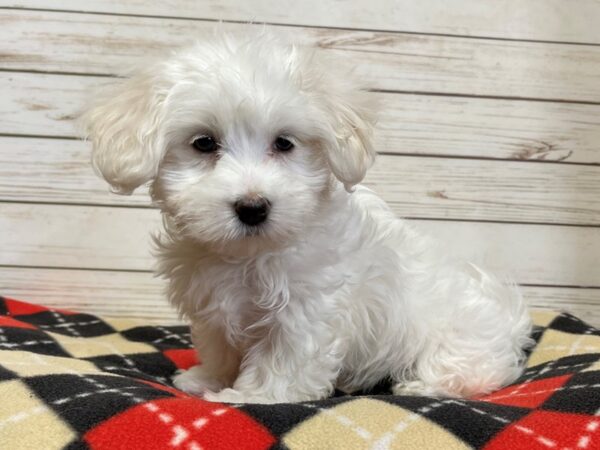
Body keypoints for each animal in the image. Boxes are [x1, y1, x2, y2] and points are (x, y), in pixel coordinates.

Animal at [82, 32, 532, 404]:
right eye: (204, 143)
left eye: (284, 143)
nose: (253, 207)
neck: (248, 254)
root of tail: (510, 320)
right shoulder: (213, 306)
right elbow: (220, 344)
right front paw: (209, 379)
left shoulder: (307, 307)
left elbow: (285, 356)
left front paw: (254, 396)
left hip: (458, 339)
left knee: (472, 371)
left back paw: (420, 385)